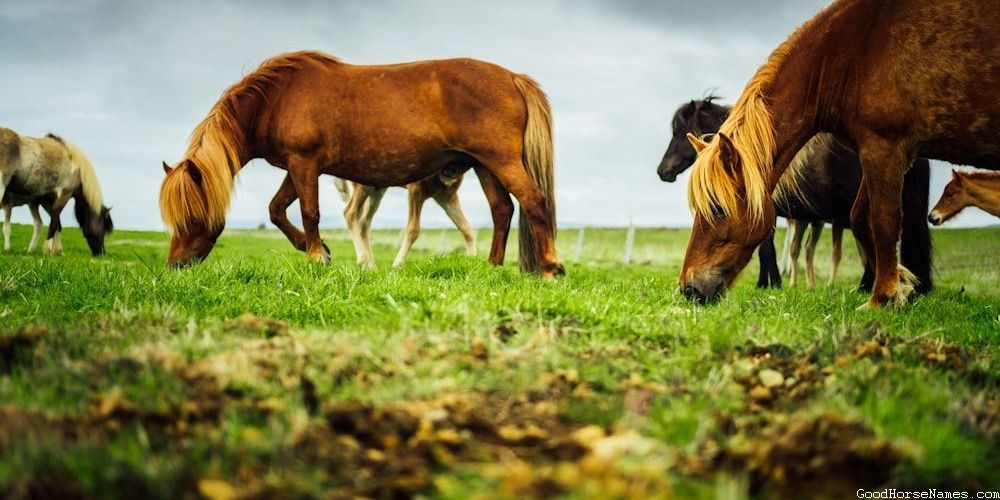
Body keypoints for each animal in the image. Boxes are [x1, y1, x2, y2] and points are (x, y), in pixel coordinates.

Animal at [0, 128, 113, 256]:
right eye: (103, 228)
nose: (101, 252)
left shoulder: (46, 200)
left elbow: (57, 223)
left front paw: (58, 251)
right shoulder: (64, 194)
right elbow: (54, 221)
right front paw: (49, 249)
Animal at [332, 167, 477, 269]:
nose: (449, 172)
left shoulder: (446, 196)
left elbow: (466, 228)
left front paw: (474, 262)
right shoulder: (416, 188)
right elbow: (413, 229)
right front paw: (397, 265)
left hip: (378, 188)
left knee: (364, 222)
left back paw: (371, 266)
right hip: (364, 184)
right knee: (350, 213)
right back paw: (364, 261)